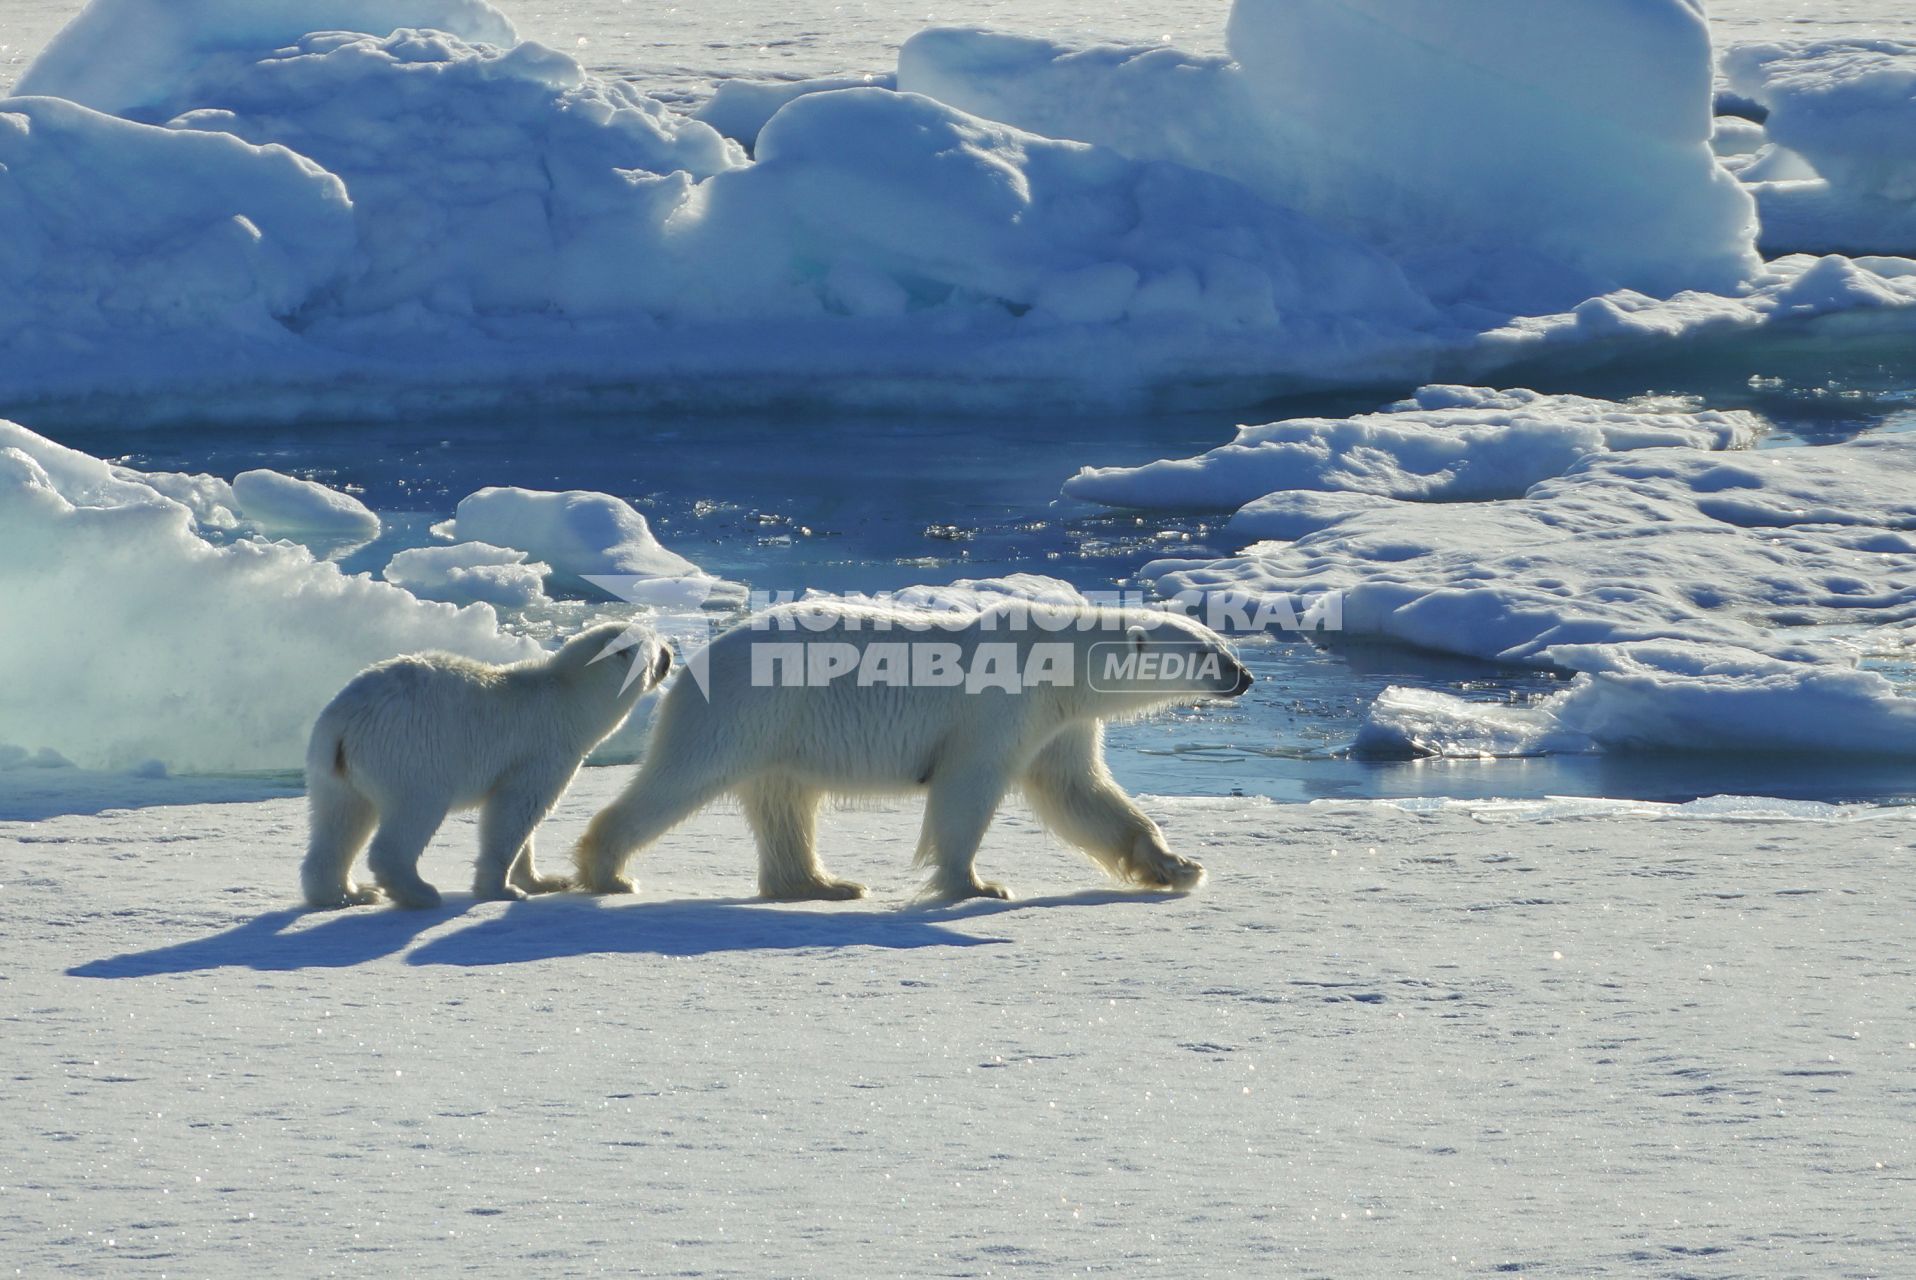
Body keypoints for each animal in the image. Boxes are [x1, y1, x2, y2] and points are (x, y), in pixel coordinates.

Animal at [293, 620, 666, 908]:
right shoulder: (543, 751)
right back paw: (419, 892)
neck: (572, 698)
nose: (670, 653)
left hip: (332, 768)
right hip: (410, 751)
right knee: (412, 813)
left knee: (340, 819)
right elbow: (514, 812)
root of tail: (343, 719)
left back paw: (347, 895)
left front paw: (545, 881)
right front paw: (503, 890)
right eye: (655, 642)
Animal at [567, 601, 1256, 900]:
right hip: (748, 711)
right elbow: (967, 788)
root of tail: (698, 660)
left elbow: (1081, 795)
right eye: (1210, 653)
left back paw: (825, 884)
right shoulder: (1000, 707)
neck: (1056, 662)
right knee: (683, 778)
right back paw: (608, 868)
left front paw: (1176, 866)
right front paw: (977, 885)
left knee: (786, 803)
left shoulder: (1060, 724)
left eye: (1224, 642)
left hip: (780, 733)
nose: (1246, 676)